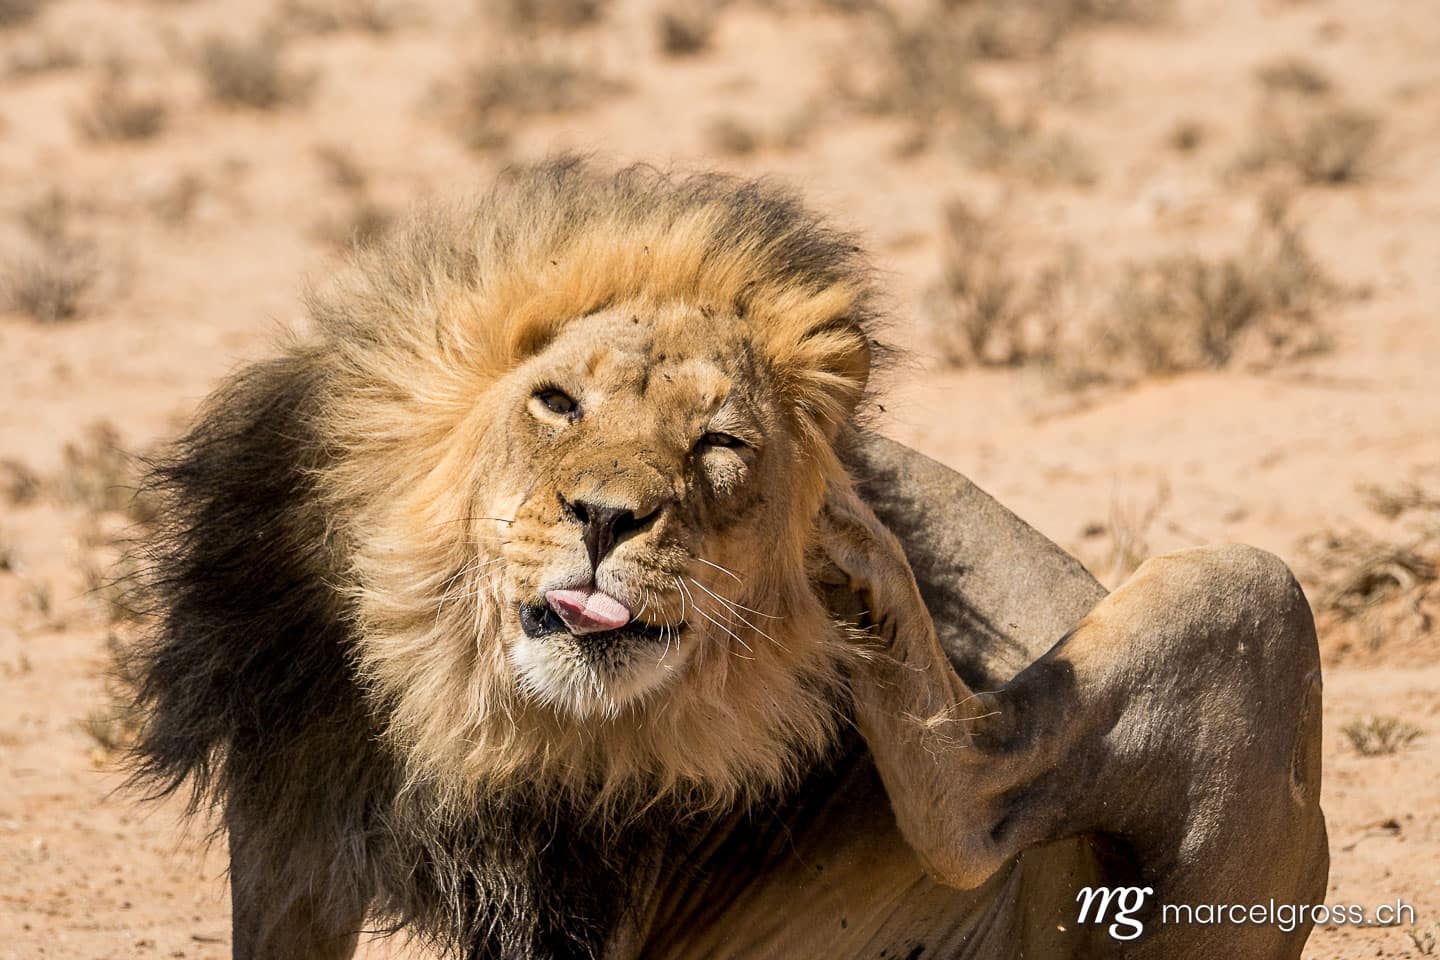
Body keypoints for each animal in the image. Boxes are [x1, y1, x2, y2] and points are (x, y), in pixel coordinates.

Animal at [121, 159, 1328, 960]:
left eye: (719, 445)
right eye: (558, 403)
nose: (606, 518)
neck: (471, 705)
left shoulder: (579, 899)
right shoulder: (289, 810)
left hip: (1247, 593)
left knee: (975, 803)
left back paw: (858, 564)